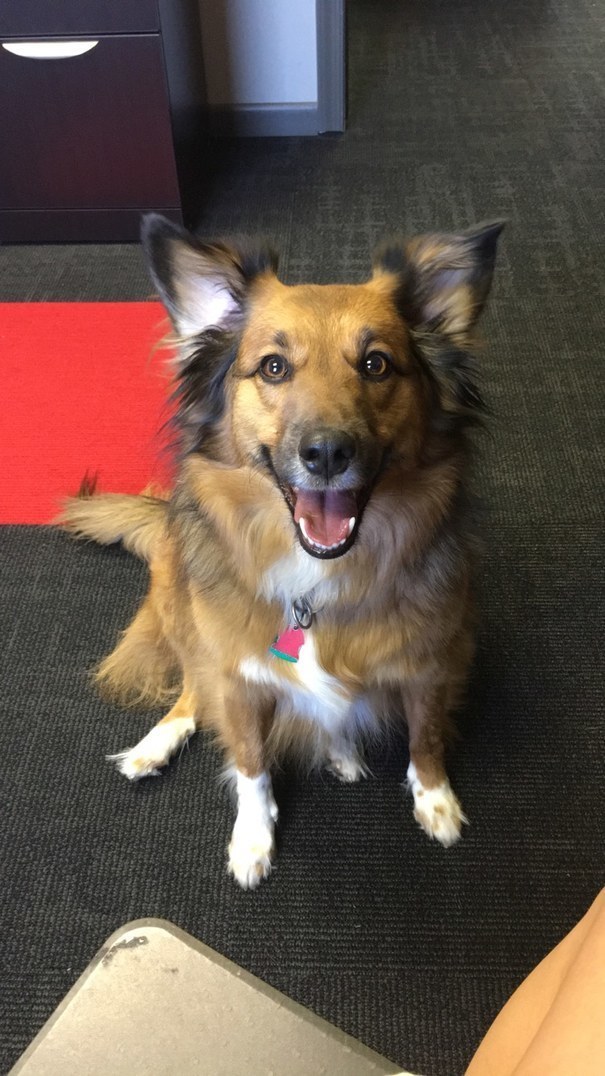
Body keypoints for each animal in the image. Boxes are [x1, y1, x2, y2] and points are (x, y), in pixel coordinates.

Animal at [58, 214, 501, 886]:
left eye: (376, 364)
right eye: (272, 368)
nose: (327, 453)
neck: (317, 581)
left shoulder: (432, 660)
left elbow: (425, 737)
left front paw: (436, 801)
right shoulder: (238, 673)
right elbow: (249, 762)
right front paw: (252, 838)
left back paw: (341, 749)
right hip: (184, 613)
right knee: (192, 687)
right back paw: (156, 742)